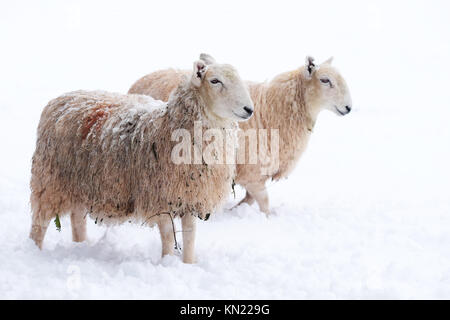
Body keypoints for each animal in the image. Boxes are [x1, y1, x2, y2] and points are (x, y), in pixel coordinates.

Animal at [29, 57, 255, 262]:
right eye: (215, 81)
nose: (249, 109)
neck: (169, 126)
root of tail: (60, 98)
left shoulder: (190, 195)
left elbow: (190, 235)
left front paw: (188, 263)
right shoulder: (159, 196)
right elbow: (167, 235)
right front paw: (167, 262)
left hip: (79, 184)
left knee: (77, 220)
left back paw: (81, 246)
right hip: (50, 181)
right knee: (39, 223)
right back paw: (34, 252)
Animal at [128, 55, 354, 215]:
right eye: (325, 80)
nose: (348, 108)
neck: (274, 108)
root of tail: (142, 80)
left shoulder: (253, 173)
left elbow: (251, 199)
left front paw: (236, 210)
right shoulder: (252, 171)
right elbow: (263, 202)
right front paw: (266, 218)